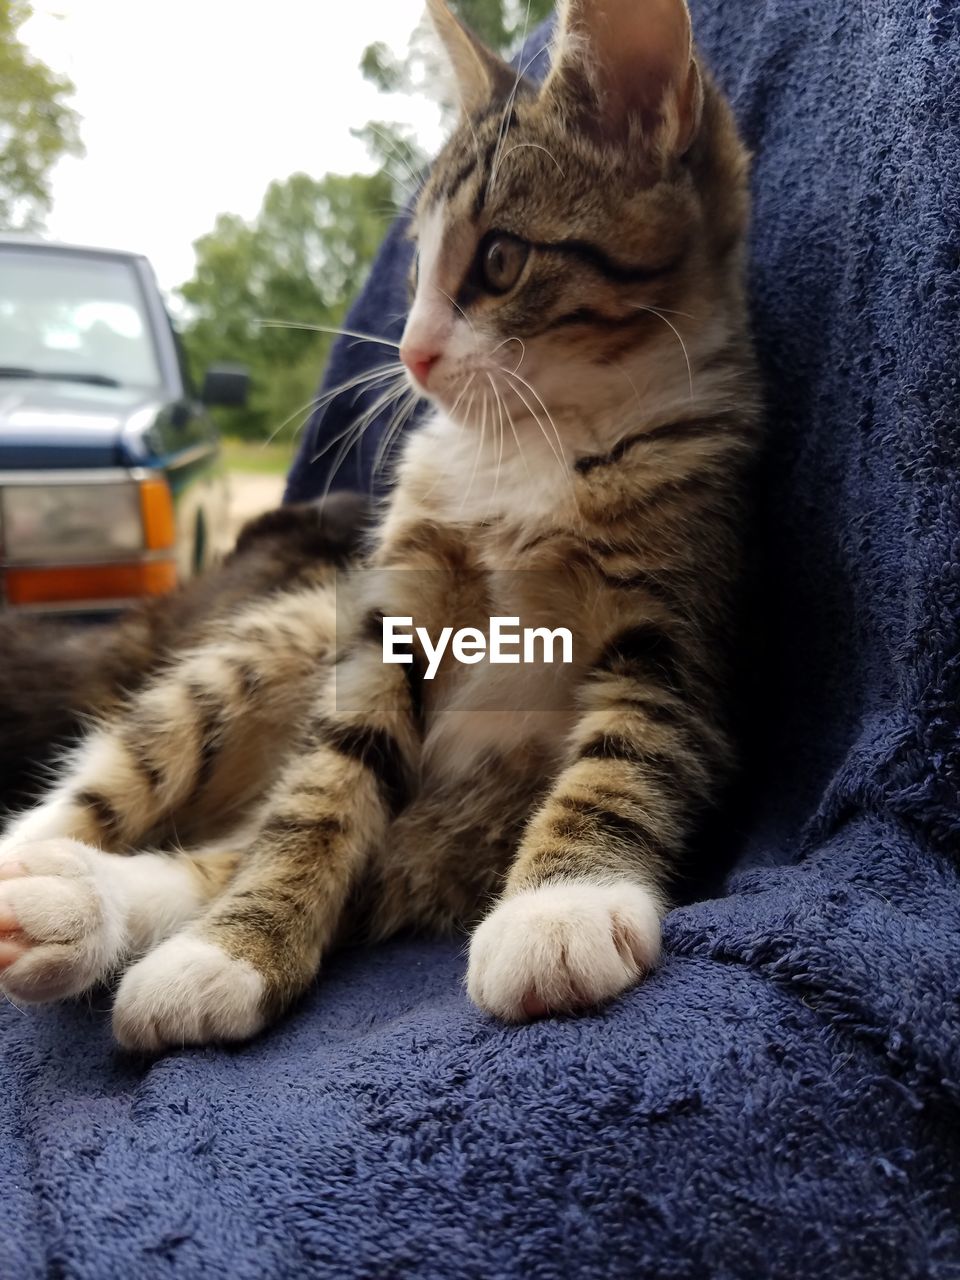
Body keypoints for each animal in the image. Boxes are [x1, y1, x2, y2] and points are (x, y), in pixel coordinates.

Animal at [0, 0, 757, 1044]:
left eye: (500, 259)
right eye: (416, 274)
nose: (411, 353)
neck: (536, 442)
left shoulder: (680, 608)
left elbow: (630, 752)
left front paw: (559, 908)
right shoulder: (387, 613)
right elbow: (322, 790)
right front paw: (231, 952)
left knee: (214, 855)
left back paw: (69, 907)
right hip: (268, 644)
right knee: (150, 782)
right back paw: (46, 863)